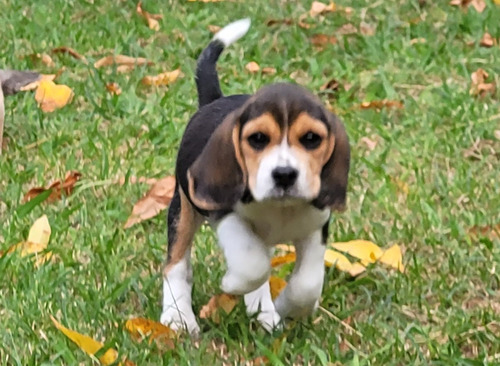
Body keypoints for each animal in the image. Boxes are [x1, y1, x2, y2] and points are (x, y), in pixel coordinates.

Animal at [162, 19, 350, 334]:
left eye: (311, 139)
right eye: (258, 139)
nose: (284, 175)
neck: (280, 209)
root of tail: (214, 101)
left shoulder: (316, 227)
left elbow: (307, 284)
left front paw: (287, 307)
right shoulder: (226, 215)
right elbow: (252, 264)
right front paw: (231, 284)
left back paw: (263, 311)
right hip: (184, 209)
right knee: (176, 265)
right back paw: (178, 316)